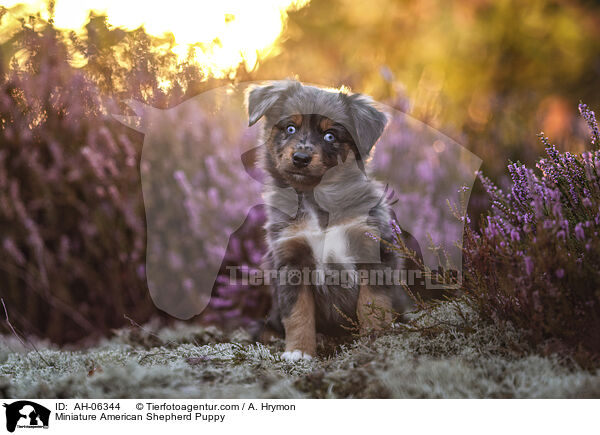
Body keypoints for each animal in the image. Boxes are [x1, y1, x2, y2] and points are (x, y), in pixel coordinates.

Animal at [246, 81, 410, 362]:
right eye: (290, 128)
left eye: (330, 136)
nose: (300, 158)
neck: (317, 199)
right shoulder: (291, 260)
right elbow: (298, 312)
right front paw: (299, 351)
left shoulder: (374, 252)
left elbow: (372, 304)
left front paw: (375, 340)